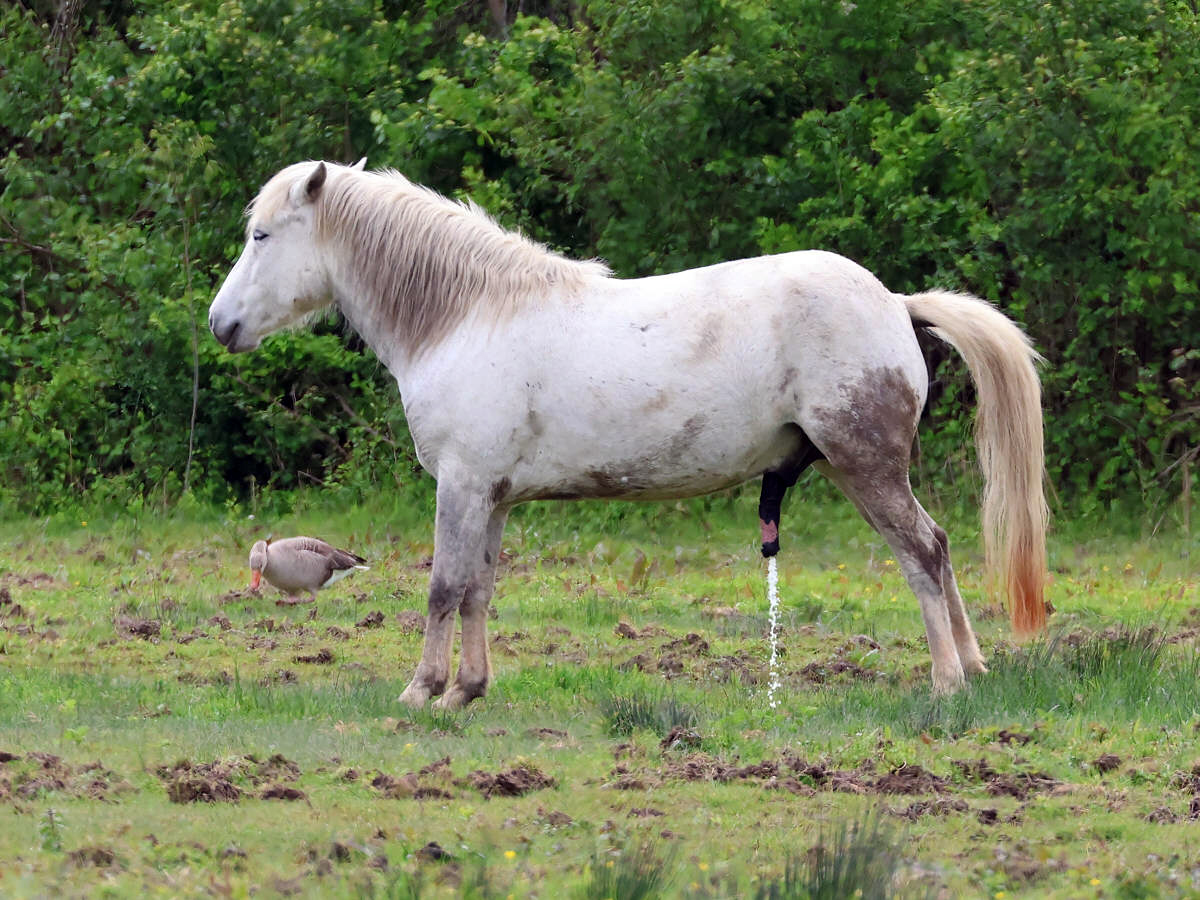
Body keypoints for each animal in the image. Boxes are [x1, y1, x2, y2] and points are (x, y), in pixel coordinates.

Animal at [211, 162, 1046, 710]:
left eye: (261, 235)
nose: (221, 325)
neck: (467, 314)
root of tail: (896, 302)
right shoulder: (494, 496)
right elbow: (479, 587)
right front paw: (468, 692)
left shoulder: (463, 484)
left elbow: (444, 585)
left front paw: (422, 691)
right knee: (939, 548)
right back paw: (973, 669)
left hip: (866, 467)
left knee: (923, 553)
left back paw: (946, 681)